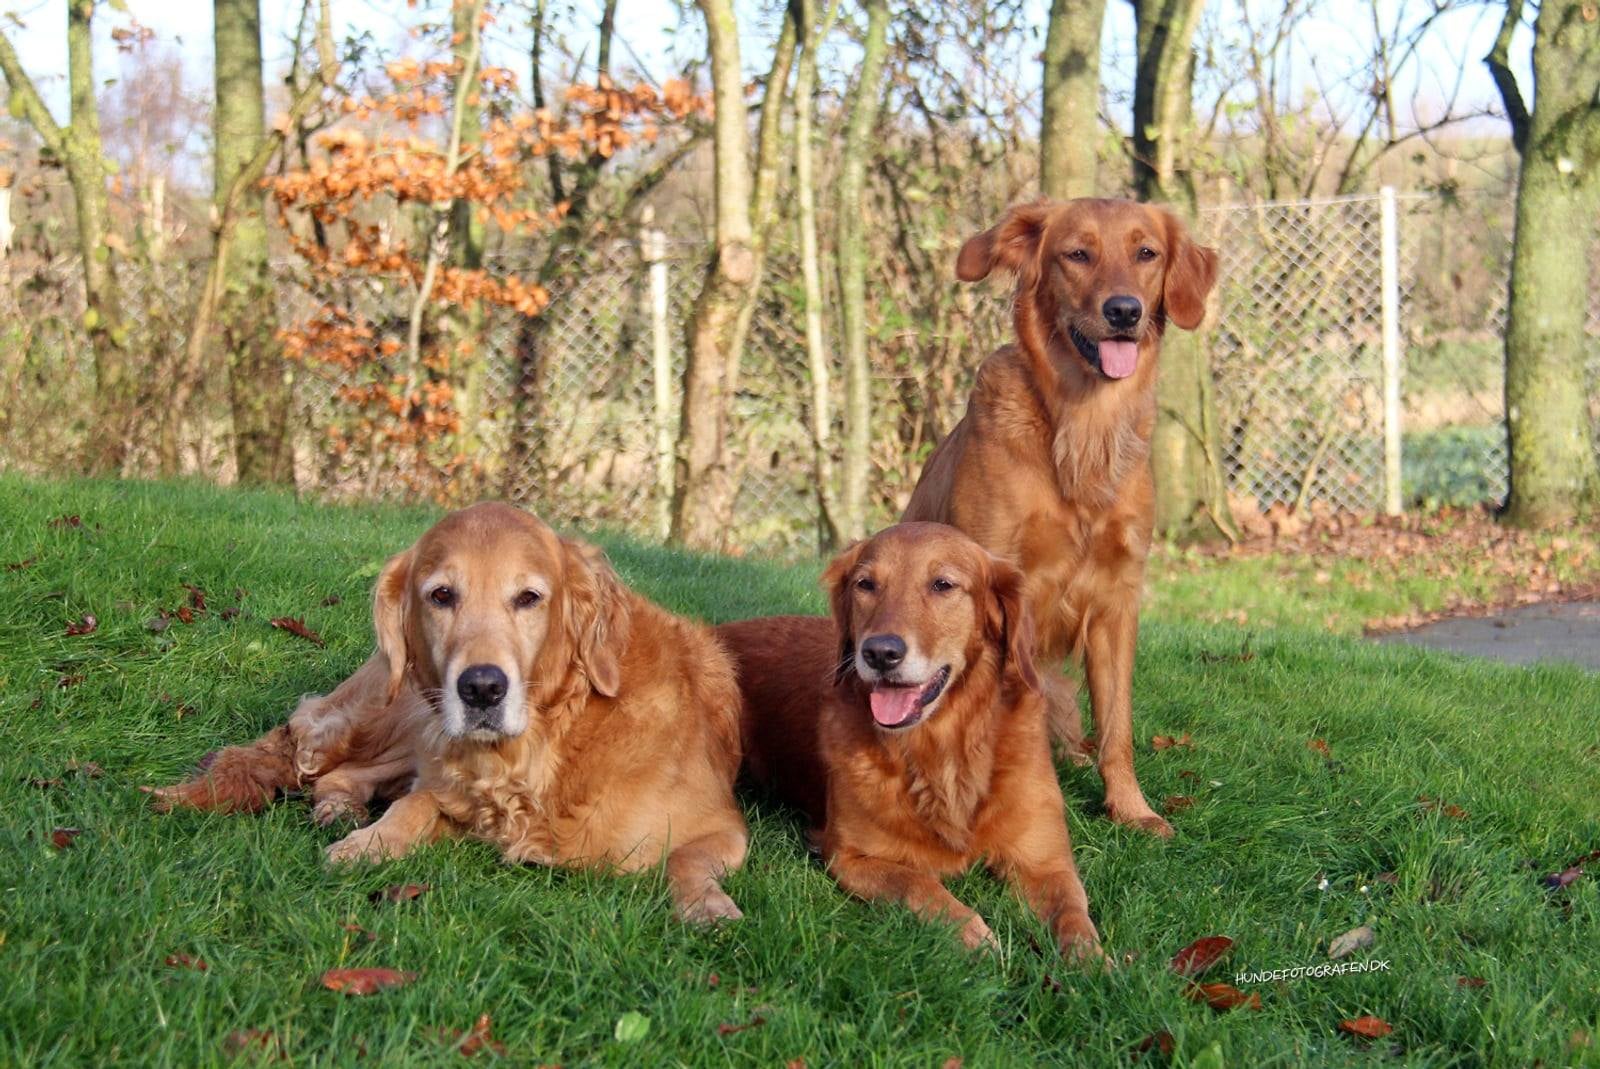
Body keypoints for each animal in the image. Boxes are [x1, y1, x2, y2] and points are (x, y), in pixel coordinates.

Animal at [151, 505, 748, 921]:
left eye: (529, 597)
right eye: (441, 595)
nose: (481, 688)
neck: (550, 745)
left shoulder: (723, 827)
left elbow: (682, 859)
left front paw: (707, 907)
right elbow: (414, 806)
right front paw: (368, 844)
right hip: (410, 713)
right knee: (341, 769)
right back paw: (340, 809)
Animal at [716, 524, 1100, 960]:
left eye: (942, 584)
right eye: (866, 584)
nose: (880, 653)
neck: (941, 748)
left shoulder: (1047, 862)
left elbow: (1074, 913)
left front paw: (1094, 963)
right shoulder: (850, 856)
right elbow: (917, 883)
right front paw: (974, 933)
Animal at [908, 198, 1216, 832]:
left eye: (1146, 252)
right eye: (1077, 254)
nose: (1124, 310)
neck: (1083, 426)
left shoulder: (1118, 597)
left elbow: (1117, 727)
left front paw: (1130, 808)